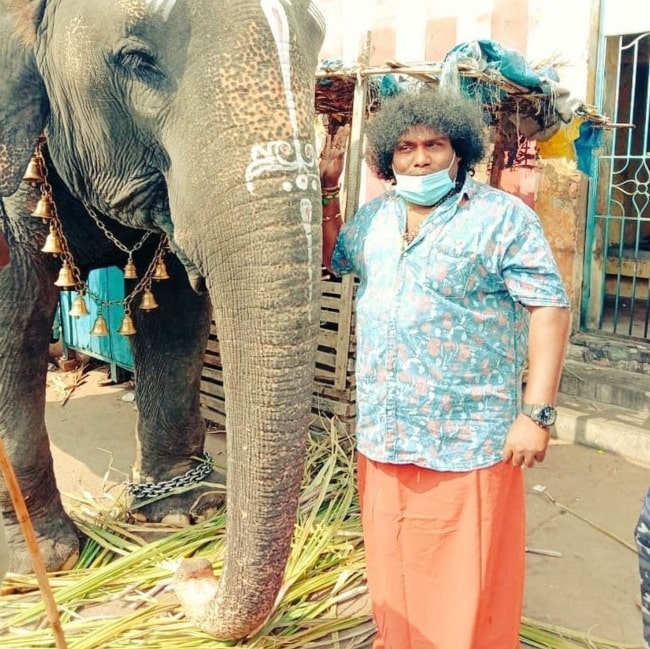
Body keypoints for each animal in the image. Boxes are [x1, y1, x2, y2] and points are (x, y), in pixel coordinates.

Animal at [0, 0, 324, 636]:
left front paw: (182, 513)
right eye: (136, 60)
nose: (192, 570)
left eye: (320, 40)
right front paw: (41, 561)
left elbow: (173, 306)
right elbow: (13, 310)